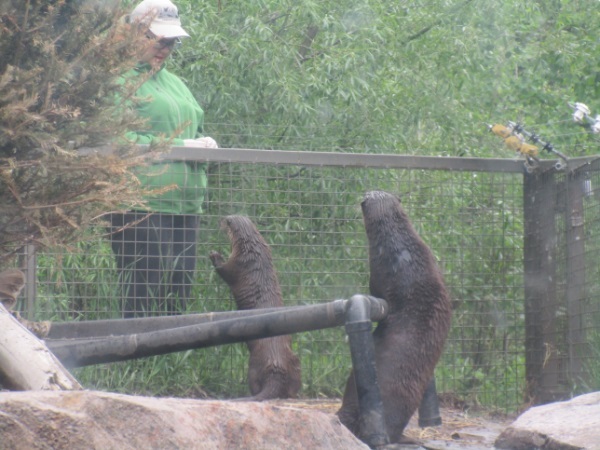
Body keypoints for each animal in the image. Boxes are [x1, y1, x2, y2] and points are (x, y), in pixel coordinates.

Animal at [210, 214, 302, 400]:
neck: (252, 248)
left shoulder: (238, 262)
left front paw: (215, 255)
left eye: (226, 219)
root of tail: (276, 366)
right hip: (295, 362)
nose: (219, 220)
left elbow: (225, 271)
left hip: (253, 364)